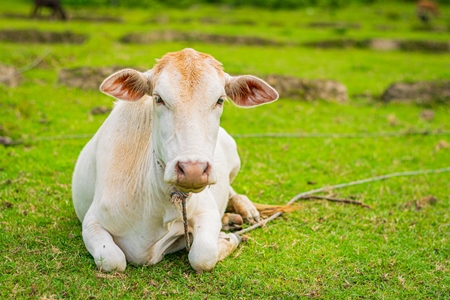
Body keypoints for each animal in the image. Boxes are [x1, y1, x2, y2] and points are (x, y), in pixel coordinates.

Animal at [72, 47, 280, 272]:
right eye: (158, 98)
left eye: (220, 100)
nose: (193, 170)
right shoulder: (92, 222)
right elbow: (113, 260)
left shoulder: (206, 210)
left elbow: (203, 255)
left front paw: (228, 239)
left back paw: (246, 210)